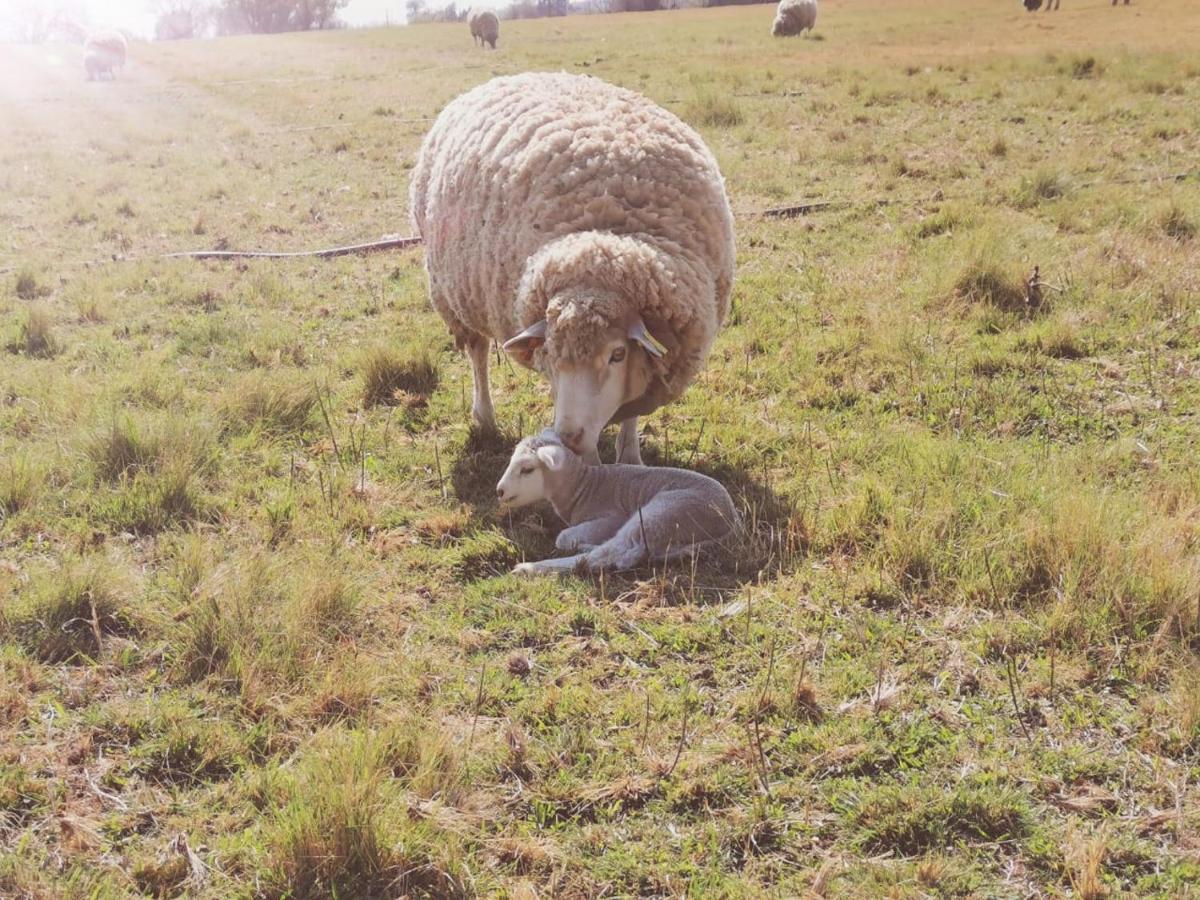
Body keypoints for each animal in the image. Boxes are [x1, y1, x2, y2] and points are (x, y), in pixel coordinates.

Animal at [408, 75, 734, 468]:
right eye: (550, 351)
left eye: (618, 354)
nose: (567, 437)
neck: (607, 249)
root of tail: (496, 80)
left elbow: (630, 412)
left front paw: (630, 456)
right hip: (455, 296)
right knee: (478, 353)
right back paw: (484, 416)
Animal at [496, 432, 739, 578]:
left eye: (527, 469)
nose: (499, 491)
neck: (583, 487)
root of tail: (732, 524)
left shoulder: (613, 517)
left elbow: (563, 537)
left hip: (663, 513)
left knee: (613, 553)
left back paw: (530, 568)